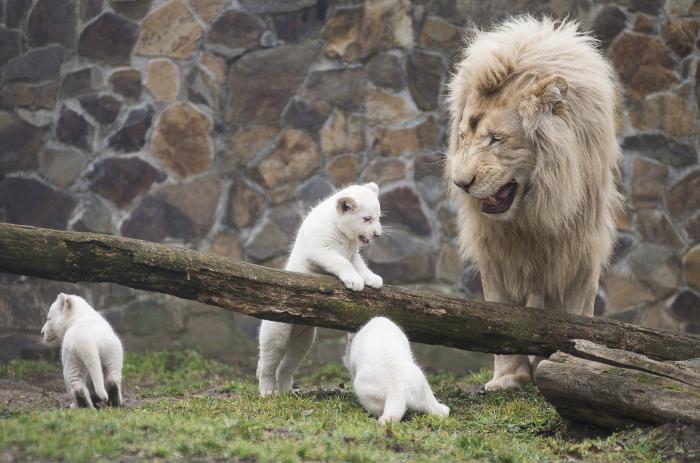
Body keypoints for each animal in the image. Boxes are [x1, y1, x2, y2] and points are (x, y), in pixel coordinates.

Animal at [446, 16, 620, 390]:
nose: (461, 184)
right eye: (463, 138)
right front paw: (509, 378)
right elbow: (500, 315)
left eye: (496, 139)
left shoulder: (579, 247)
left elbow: (574, 316)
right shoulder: (495, 251)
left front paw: (570, 365)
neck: (534, 212)